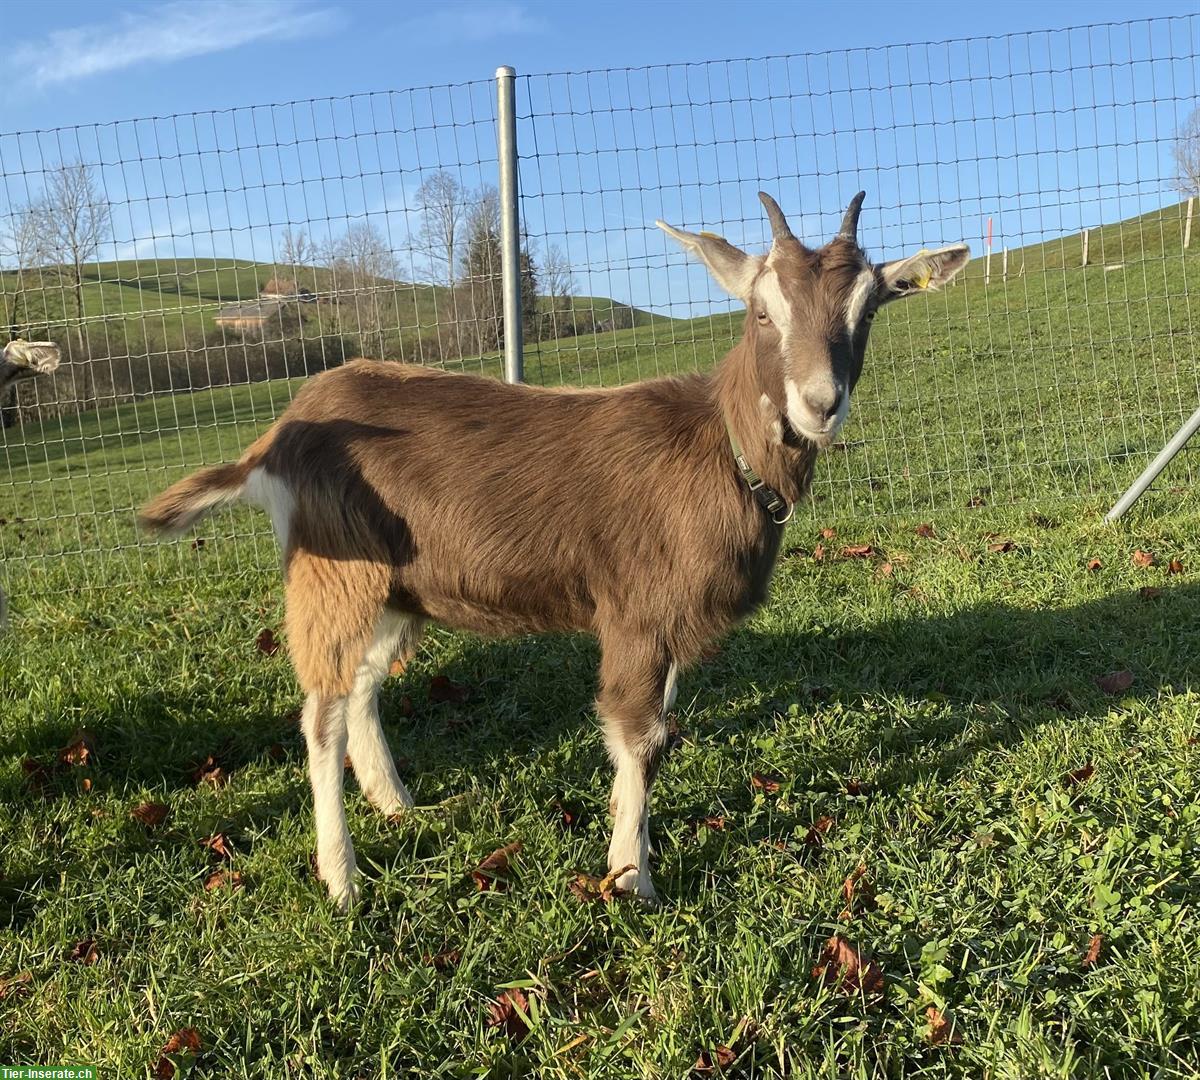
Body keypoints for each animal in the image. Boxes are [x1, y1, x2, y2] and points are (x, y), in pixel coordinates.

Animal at [138, 195, 964, 912]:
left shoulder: (668, 628)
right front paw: (632, 880)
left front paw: (634, 858)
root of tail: (279, 432)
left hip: (398, 585)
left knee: (363, 684)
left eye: (868, 310)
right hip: (332, 571)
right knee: (321, 712)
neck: (723, 451)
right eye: (763, 311)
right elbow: (641, 738)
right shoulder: (635, 613)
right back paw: (342, 879)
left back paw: (400, 806)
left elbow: (651, 734)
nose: (819, 406)